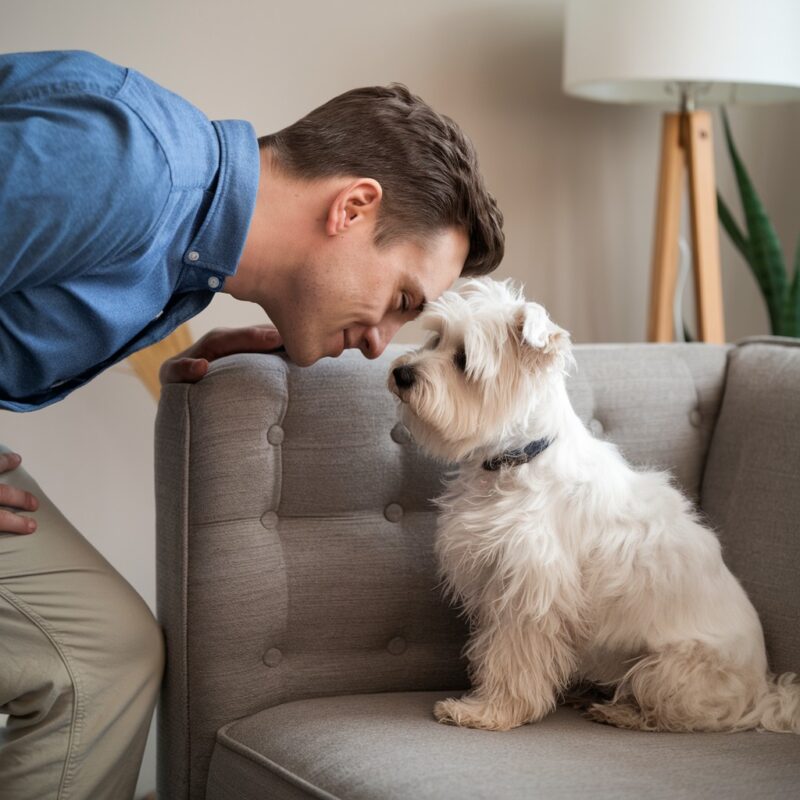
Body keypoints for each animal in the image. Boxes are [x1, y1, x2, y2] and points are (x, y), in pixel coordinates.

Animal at [388, 278, 800, 736]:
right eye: (435, 339)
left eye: (462, 360)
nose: (402, 373)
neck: (520, 459)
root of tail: (762, 691)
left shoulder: (531, 592)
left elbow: (511, 660)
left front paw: (488, 712)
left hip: (669, 668)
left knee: (675, 714)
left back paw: (619, 711)